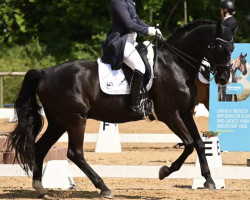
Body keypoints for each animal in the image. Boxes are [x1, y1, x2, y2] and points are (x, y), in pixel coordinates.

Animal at [7, 19, 234, 198]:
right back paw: (104, 188)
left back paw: (41, 188)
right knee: (75, 153)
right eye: (220, 48)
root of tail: (45, 72)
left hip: (59, 121)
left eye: (232, 49)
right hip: (75, 119)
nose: (223, 79)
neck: (175, 64)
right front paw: (164, 171)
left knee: (41, 147)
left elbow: (199, 143)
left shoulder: (186, 112)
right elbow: (188, 144)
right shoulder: (169, 114)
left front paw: (209, 180)